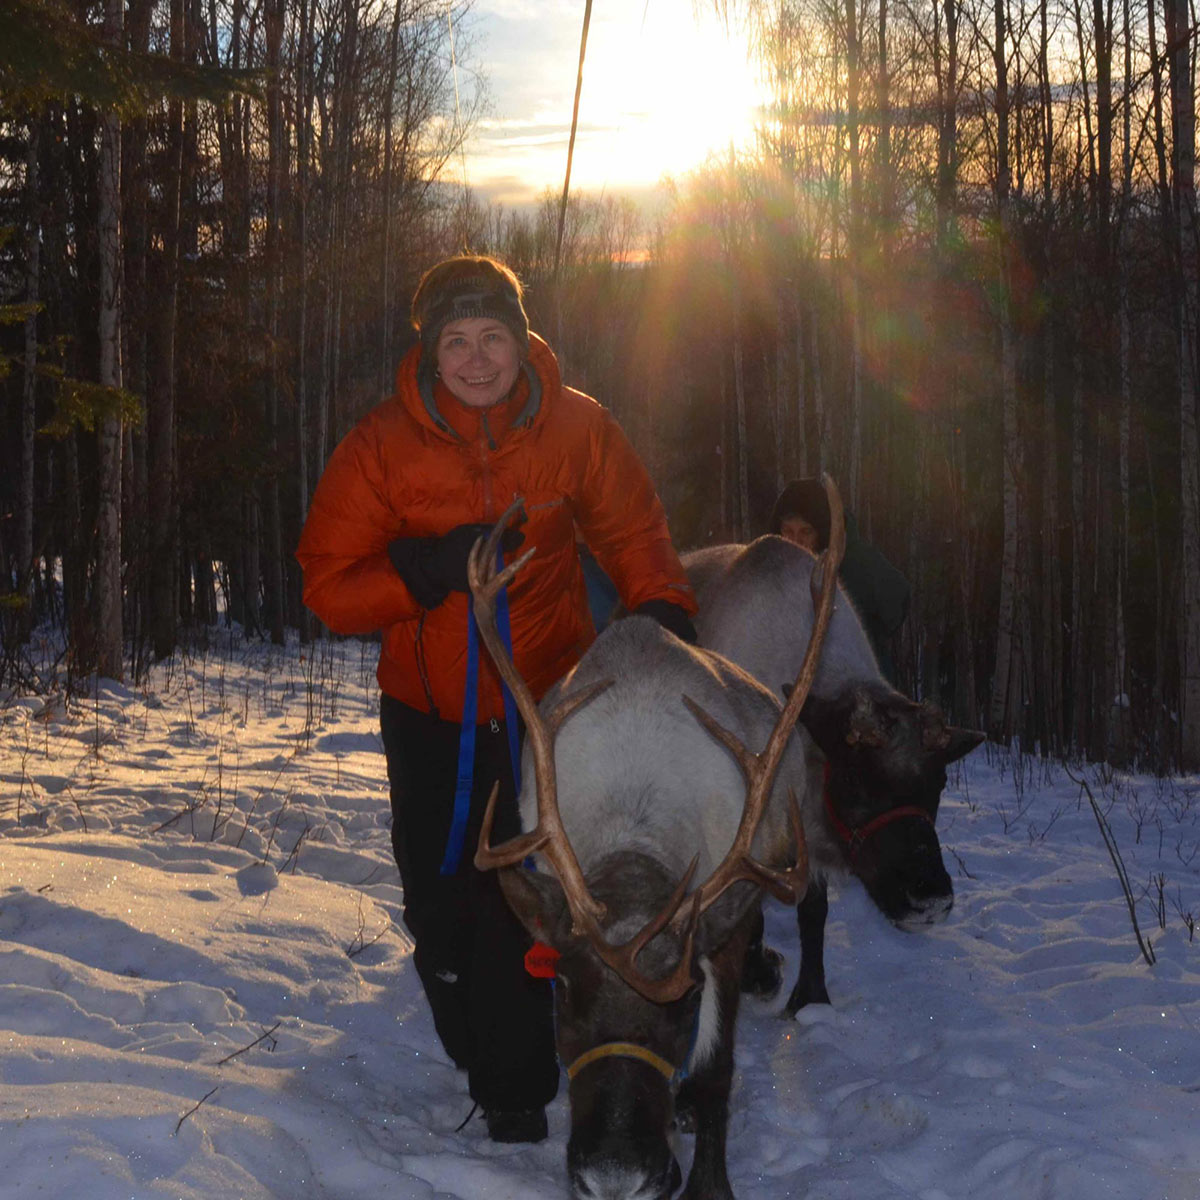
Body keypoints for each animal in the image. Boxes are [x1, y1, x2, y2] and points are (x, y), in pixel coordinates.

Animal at [464, 483, 846, 1200]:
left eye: (687, 998)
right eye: (560, 986)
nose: (616, 1176)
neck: (637, 833)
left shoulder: (722, 925)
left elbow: (718, 1070)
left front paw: (709, 1184)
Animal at [683, 533, 984, 1016]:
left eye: (938, 784)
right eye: (853, 780)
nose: (930, 899)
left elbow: (813, 913)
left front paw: (809, 998)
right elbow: (748, 909)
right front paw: (758, 976)